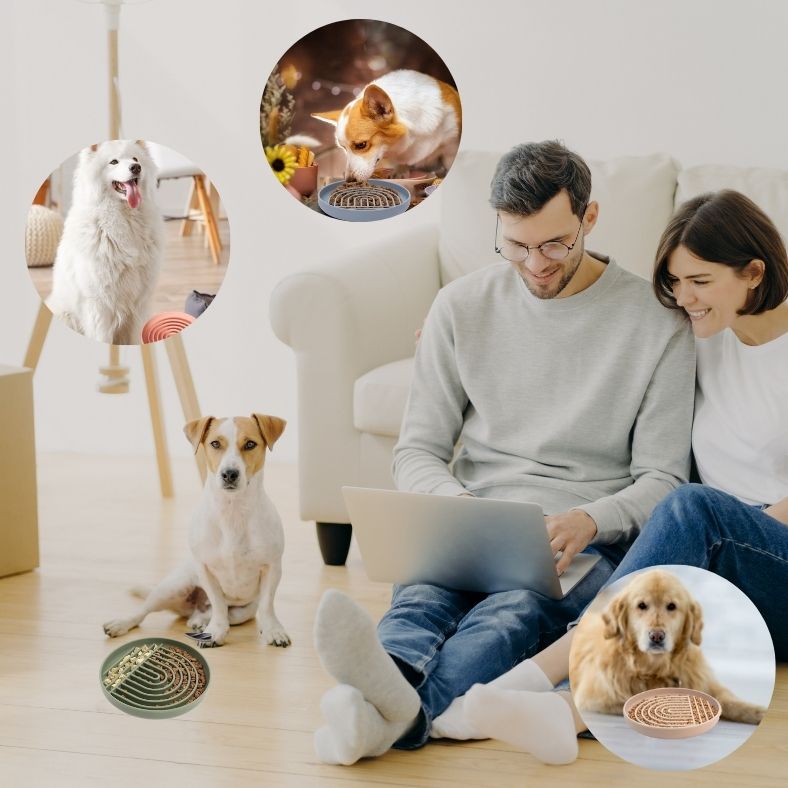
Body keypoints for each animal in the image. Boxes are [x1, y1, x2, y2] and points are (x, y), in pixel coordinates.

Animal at [47, 140, 163, 344]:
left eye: (135, 159)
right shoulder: (98, 304)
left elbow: (136, 337)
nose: (136, 168)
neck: (124, 218)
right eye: (114, 162)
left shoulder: (140, 303)